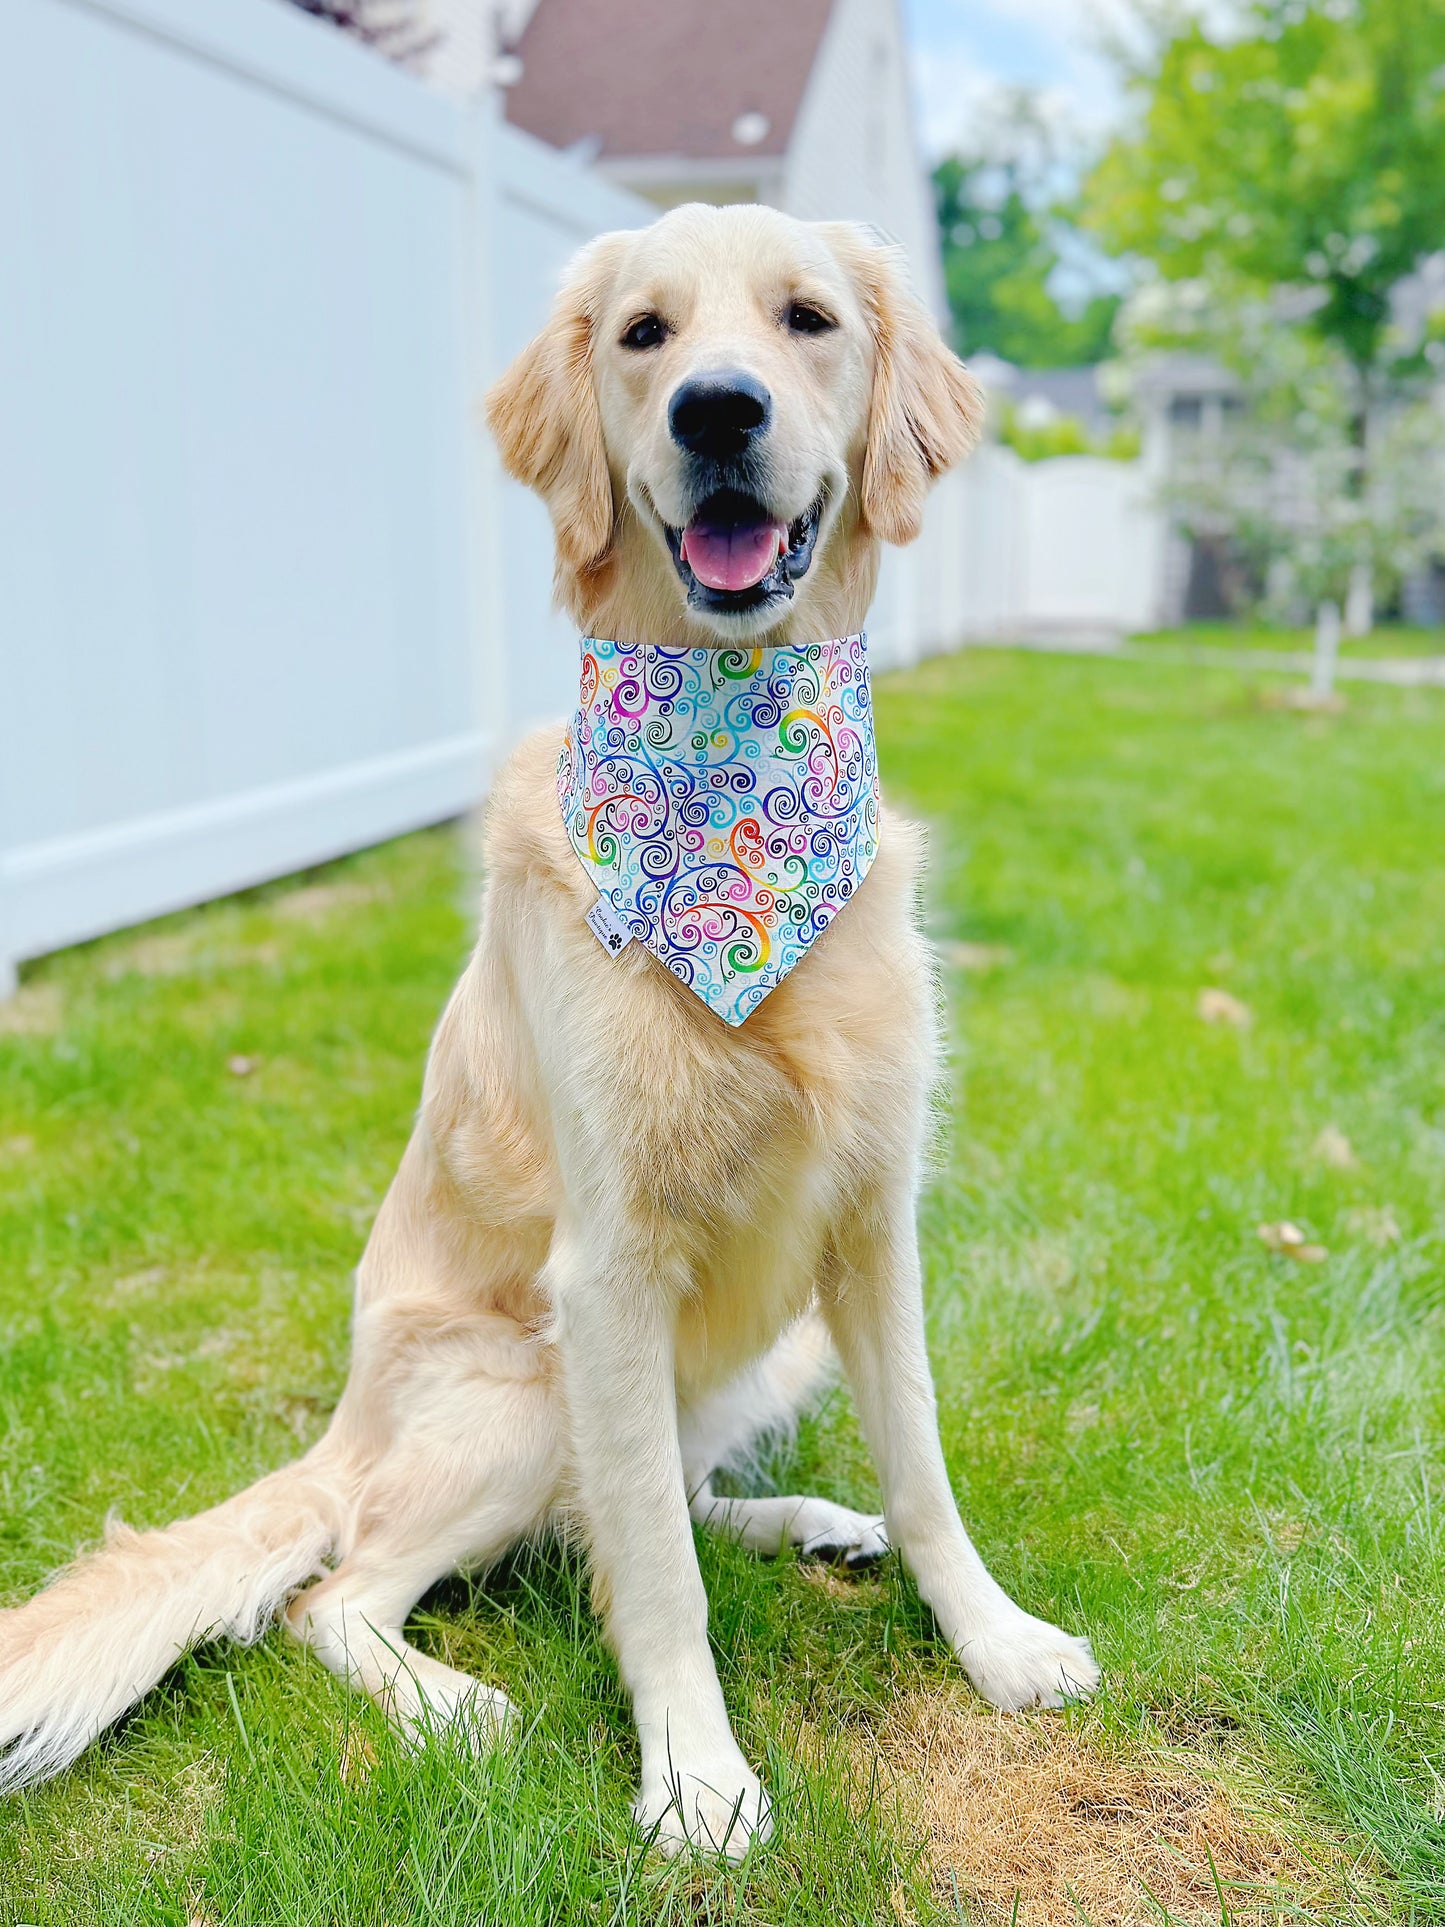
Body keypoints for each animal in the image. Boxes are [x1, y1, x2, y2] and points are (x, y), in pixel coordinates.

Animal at [0, 203, 1094, 1857]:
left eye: (808, 318)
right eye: (644, 334)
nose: (718, 410)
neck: (731, 760)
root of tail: (339, 1436)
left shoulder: (870, 1220)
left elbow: (917, 1471)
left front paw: (995, 1638)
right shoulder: (608, 1269)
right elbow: (653, 1579)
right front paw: (697, 1776)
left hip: (766, 1351)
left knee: (636, 1505)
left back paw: (805, 1520)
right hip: (518, 1387)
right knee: (348, 1590)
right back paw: (453, 1700)